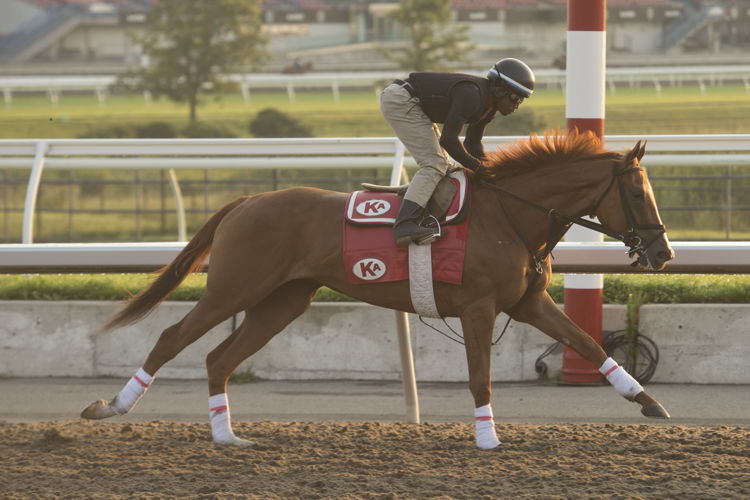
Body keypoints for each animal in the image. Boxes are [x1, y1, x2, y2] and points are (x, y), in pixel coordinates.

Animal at [81, 132, 676, 450]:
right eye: (638, 195)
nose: (663, 252)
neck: (510, 215)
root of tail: (247, 201)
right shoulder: (479, 307)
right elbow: (480, 375)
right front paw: (487, 438)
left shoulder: (527, 303)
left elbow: (591, 344)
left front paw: (648, 401)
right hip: (234, 289)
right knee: (172, 337)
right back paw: (112, 406)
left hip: (284, 300)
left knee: (218, 357)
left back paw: (227, 436)